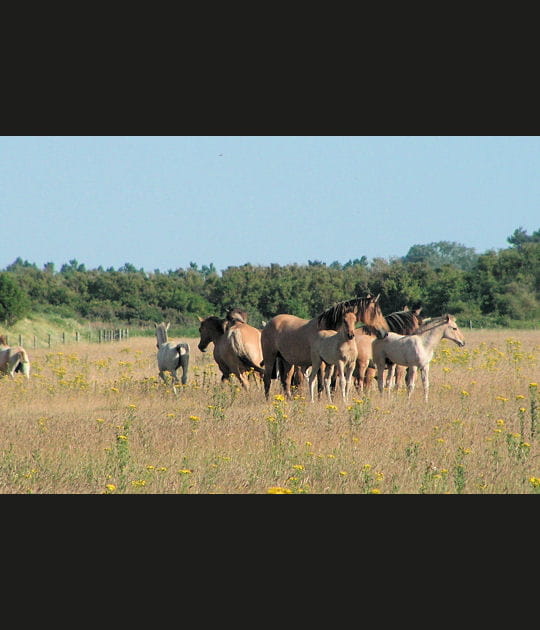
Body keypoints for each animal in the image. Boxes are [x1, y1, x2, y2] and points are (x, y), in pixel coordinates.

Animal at [260, 296, 388, 400]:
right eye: (377, 312)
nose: (385, 333)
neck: (326, 327)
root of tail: (269, 324)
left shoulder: (334, 364)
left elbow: (332, 383)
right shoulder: (321, 364)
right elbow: (321, 384)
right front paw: (319, 400)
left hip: (286, 361)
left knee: (285, 382)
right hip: (270, 358)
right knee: (267, 380)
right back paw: (267, 400)